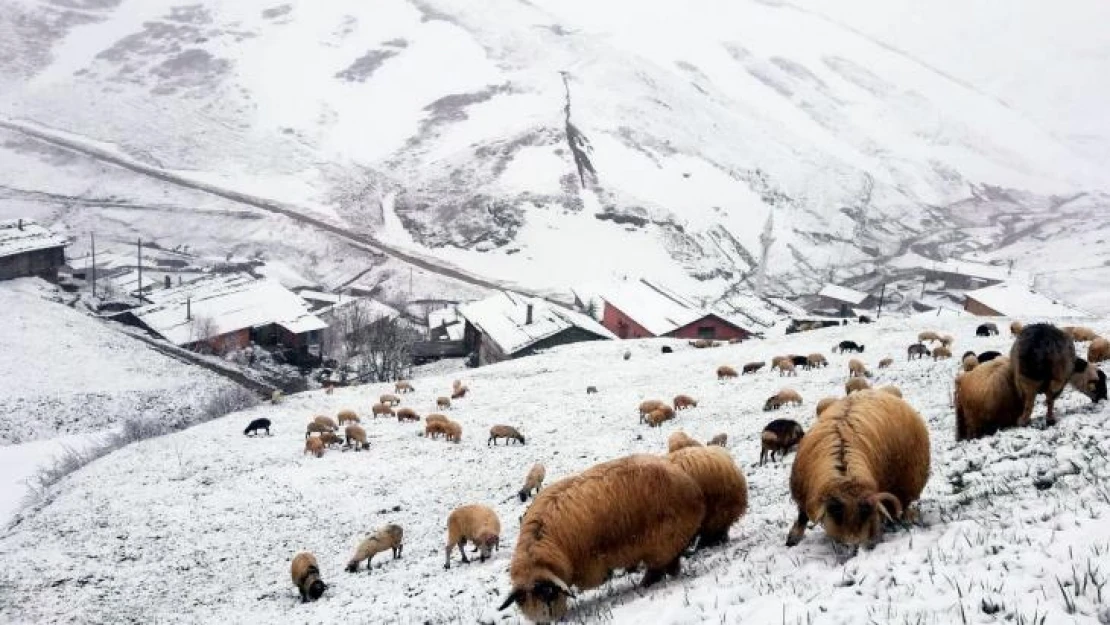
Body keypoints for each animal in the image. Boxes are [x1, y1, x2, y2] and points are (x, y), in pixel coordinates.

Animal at [785, 390, 932, 548]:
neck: (846, 473)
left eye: (864, 514)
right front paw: (793, 539)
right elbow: (802, 516)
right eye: (837, 513)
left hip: (907, 484)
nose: (852, 546)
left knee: (903, 506)